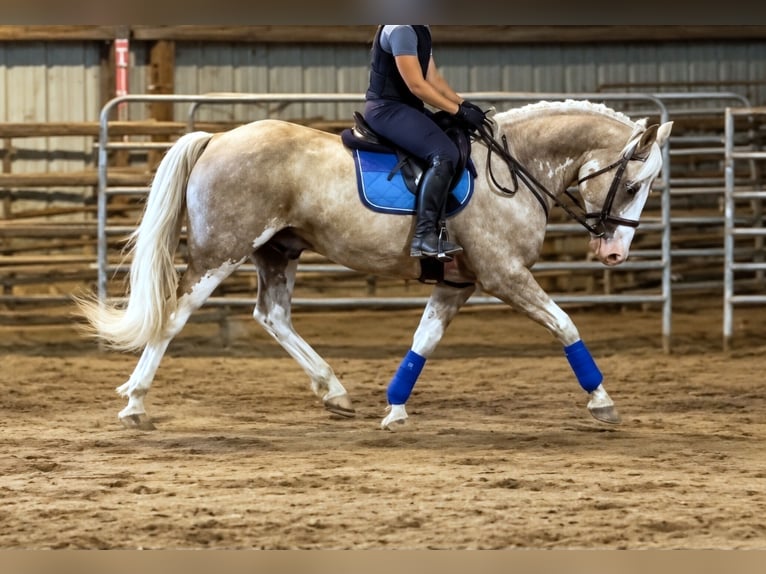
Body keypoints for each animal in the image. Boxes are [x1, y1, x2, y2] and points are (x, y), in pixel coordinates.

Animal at [76, 99, 672, 431]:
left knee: (273, 317)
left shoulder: (459, 283)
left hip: (278, 251)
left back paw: (334, 391)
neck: (512, 169)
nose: (615, 253)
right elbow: (565, 324)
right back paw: (135, 404)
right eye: (634, 185)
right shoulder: (505, 276)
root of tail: (219, 138)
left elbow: (423, 342)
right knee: (174, 316)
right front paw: (602, 401)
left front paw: (395, 409)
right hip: (220, 252)